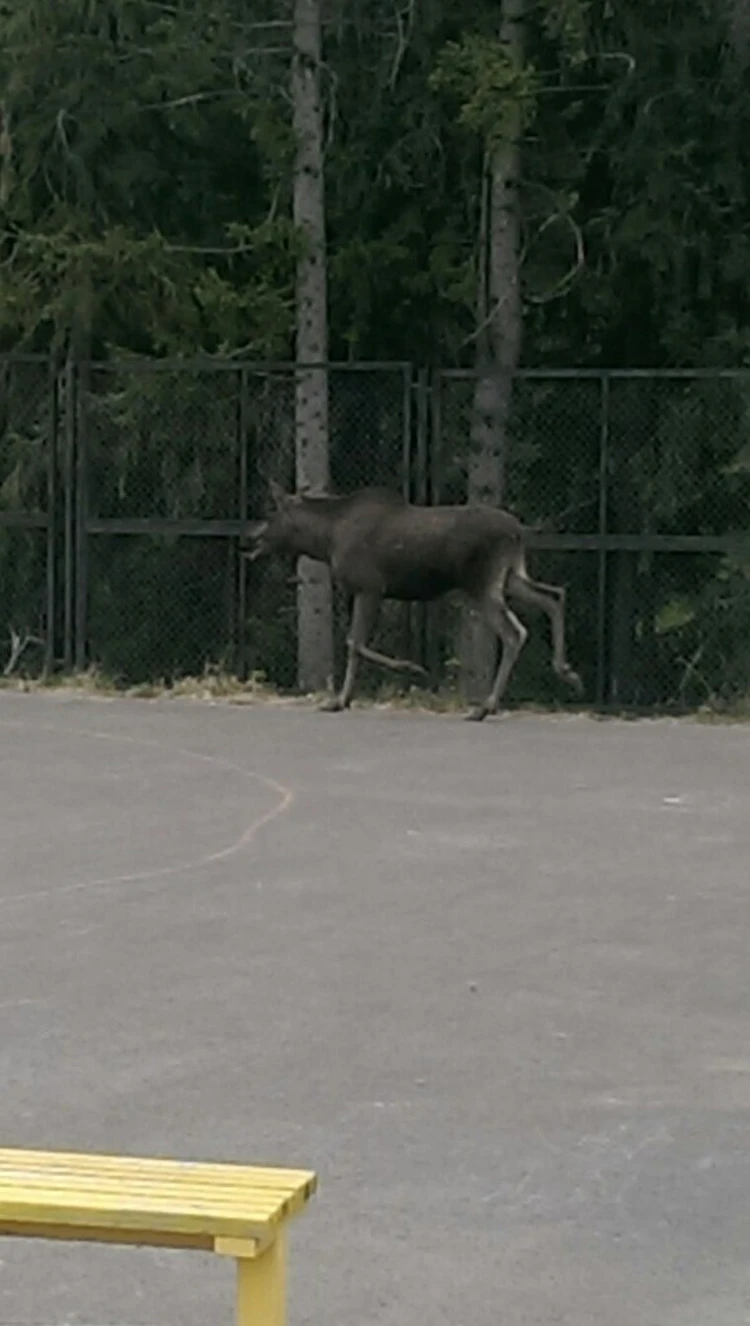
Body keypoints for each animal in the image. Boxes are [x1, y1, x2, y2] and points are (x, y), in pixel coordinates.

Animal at [243, 482, 585, 721]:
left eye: (271, 514)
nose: (252, 537)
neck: (325, 542)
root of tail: (519, 531)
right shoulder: (366, 591)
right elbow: (354, 643)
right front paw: (343, 699)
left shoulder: (370, 587)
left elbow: (354, 642)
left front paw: (408, 670)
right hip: (511, 575)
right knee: (554, 595)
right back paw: (567, 671)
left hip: (482, 583)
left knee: (515, 631)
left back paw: (484, 707)